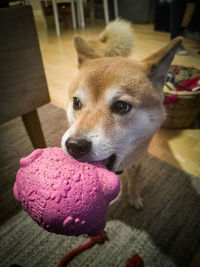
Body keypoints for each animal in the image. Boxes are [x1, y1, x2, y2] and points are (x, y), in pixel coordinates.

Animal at [61, 19, 182, 210]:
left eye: (121, 106)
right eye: (76, 102)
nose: (75, 145)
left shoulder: (137, 162)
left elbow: (134, 181)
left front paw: (134, 197)